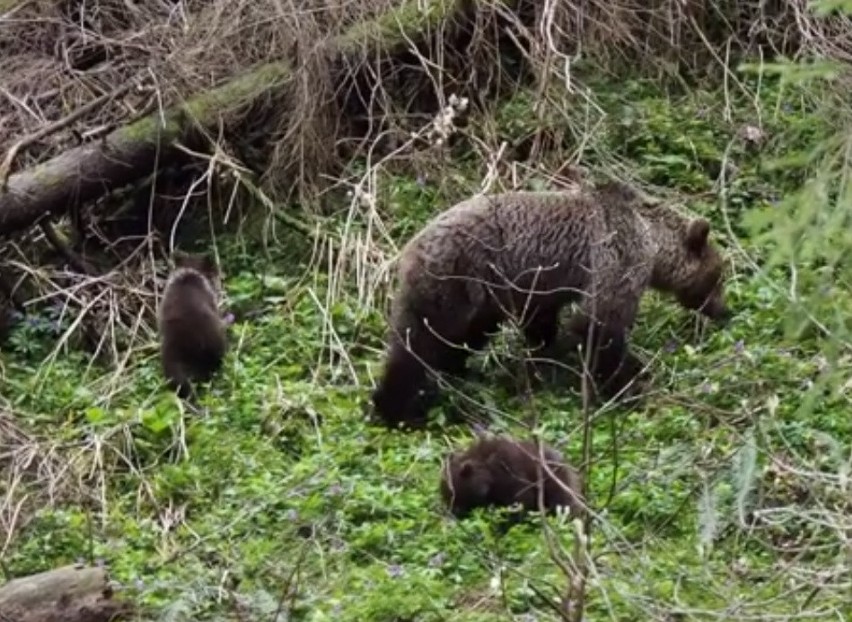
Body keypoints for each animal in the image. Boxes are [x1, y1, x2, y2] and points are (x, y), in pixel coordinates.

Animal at [370, 182, 728, 428]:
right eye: (717, 277)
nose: (725, 311)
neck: (652, 240)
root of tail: (408, 249)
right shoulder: (616, 255)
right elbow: (602, 322)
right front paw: (629, 383)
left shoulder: (541, 285)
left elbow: (543, 322)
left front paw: (545, 360)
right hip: (455, 279)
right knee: (419, 344)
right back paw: (397, 409)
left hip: (474, 293)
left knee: (450, 337)